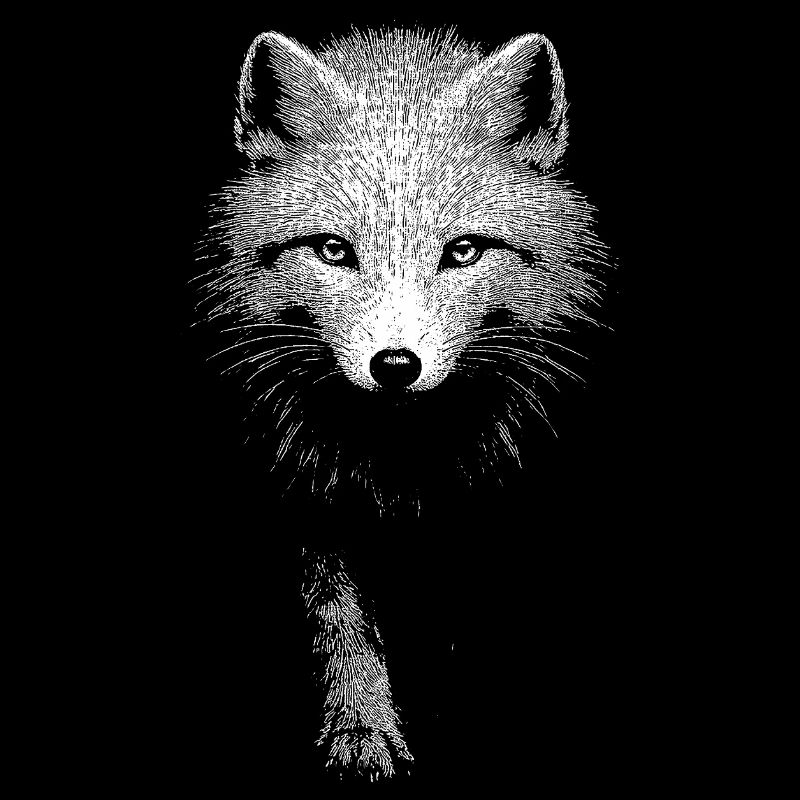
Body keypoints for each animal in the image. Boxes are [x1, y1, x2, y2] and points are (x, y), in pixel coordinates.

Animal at [195, 27, 609, 781]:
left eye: (464, 251)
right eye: (334, 250)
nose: (395, 366)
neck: (400, 468)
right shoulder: (306, 496)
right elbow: (340, 622)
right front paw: (361, 727)